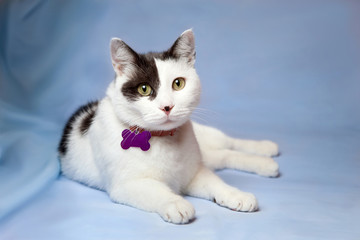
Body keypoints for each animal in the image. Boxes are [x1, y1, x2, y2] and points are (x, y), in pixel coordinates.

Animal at [58, 29, 278, 224]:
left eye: (178, 84)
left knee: (228, 144)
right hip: (205, 155)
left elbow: (215, 182)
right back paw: (266, 163)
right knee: (222, 156)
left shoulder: (193, 173)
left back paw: (265, 150)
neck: (162, 139)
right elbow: (156, 190)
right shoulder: (127, 185)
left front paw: (234, 194)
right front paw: (176, 203)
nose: (167, 107)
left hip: (205, 140)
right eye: (144, 89)